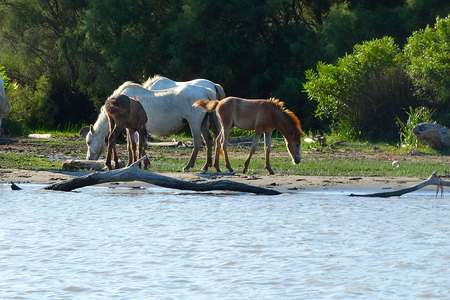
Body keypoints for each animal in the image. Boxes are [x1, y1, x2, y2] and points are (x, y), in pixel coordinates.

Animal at [86, 82, 218, 171]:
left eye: (88, 142)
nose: (88, 159)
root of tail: (207, 91)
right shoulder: (132, 129)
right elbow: (133, 146)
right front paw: (138, 163)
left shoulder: (134, 129)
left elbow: (136, 145)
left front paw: (140, 163)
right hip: (203, 124)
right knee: (209, 141)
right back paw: (205, 166)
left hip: (194, 123)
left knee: (197, 143)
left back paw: (188, 166)